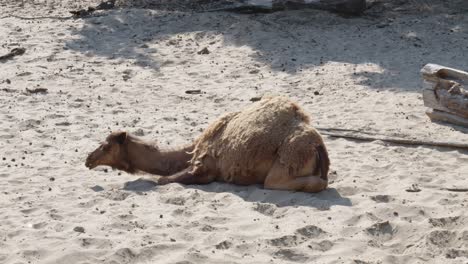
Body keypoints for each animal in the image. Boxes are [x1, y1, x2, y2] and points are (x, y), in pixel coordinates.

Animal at [86, 95, 330, 192]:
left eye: (106, 145)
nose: (88, 159)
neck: (189, 150)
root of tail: (318, 145)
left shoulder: (204, 168)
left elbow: (162, 180)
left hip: (288, 158)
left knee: (280, 182)